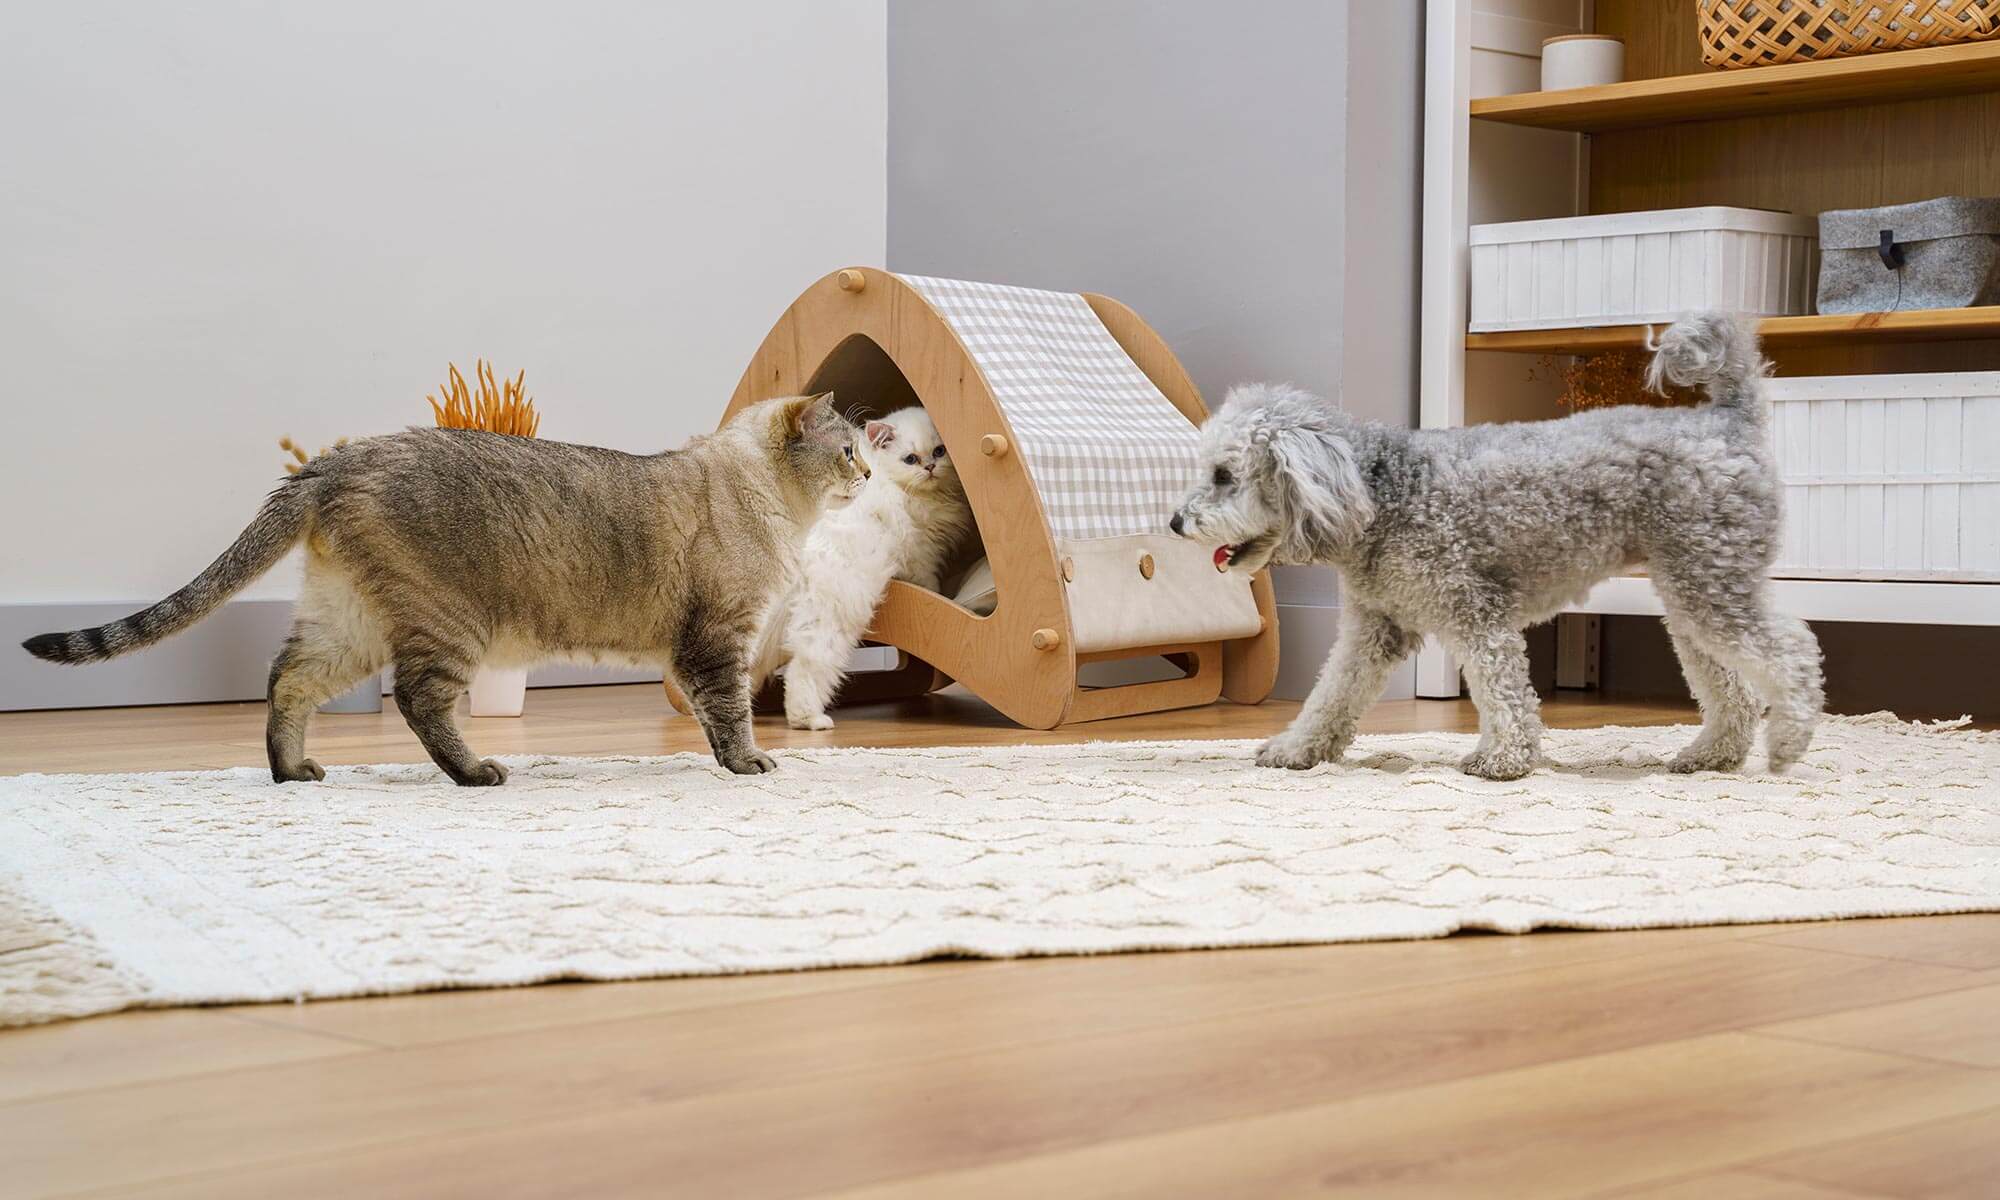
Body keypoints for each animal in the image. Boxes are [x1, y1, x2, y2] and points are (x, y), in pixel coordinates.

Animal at [21, 396, 868, 788]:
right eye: (849, 451)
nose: (867, 474)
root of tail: (334, 461)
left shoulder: (704, 646)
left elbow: (712, 715)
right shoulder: (717, 641)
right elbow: (729, 714)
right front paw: (748, 764)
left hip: (351, 625)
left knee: (285, 681)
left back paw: (292, 773)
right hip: (449, 627)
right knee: (419, 702)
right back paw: (475, 772)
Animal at [752, 406, 980, 732]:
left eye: (939, 450)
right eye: (911, 459)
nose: (930, 467)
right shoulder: (920, 555)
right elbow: (929, 584)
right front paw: (940, 597)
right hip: (833, 616)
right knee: (805, 668)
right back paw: (809, 720)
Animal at [1168, 312, 1832, 780]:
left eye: (1224, 476)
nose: (1175, 522)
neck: (1382, 491)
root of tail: (1729, 420)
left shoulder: (1474, 610)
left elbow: (1501, 688)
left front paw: (1503, 760)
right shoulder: (1374, 628)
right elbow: (1332, 694)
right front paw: (1296, 749)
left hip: (1712, 583)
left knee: (1794, 652)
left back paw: (1788, 742)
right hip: (1692, 594)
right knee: (1733, 687)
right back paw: (1711, 756)